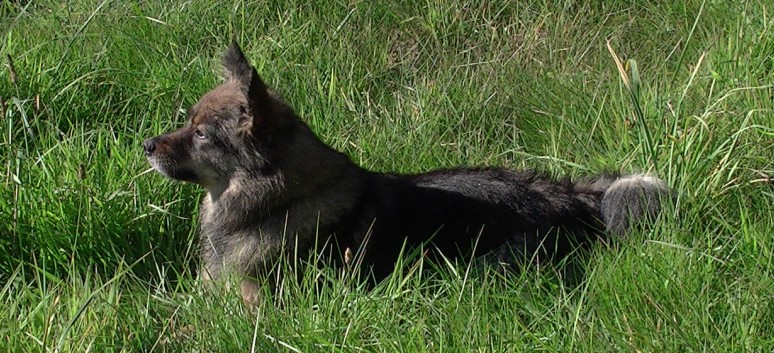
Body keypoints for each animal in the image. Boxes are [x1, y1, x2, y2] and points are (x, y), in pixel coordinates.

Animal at [146, 41, 672, 302]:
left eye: (200, 135)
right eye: (187, 121)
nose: (147, 145)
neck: (278, 197)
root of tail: (568, 194)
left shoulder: (252, 300)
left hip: (491, 265)